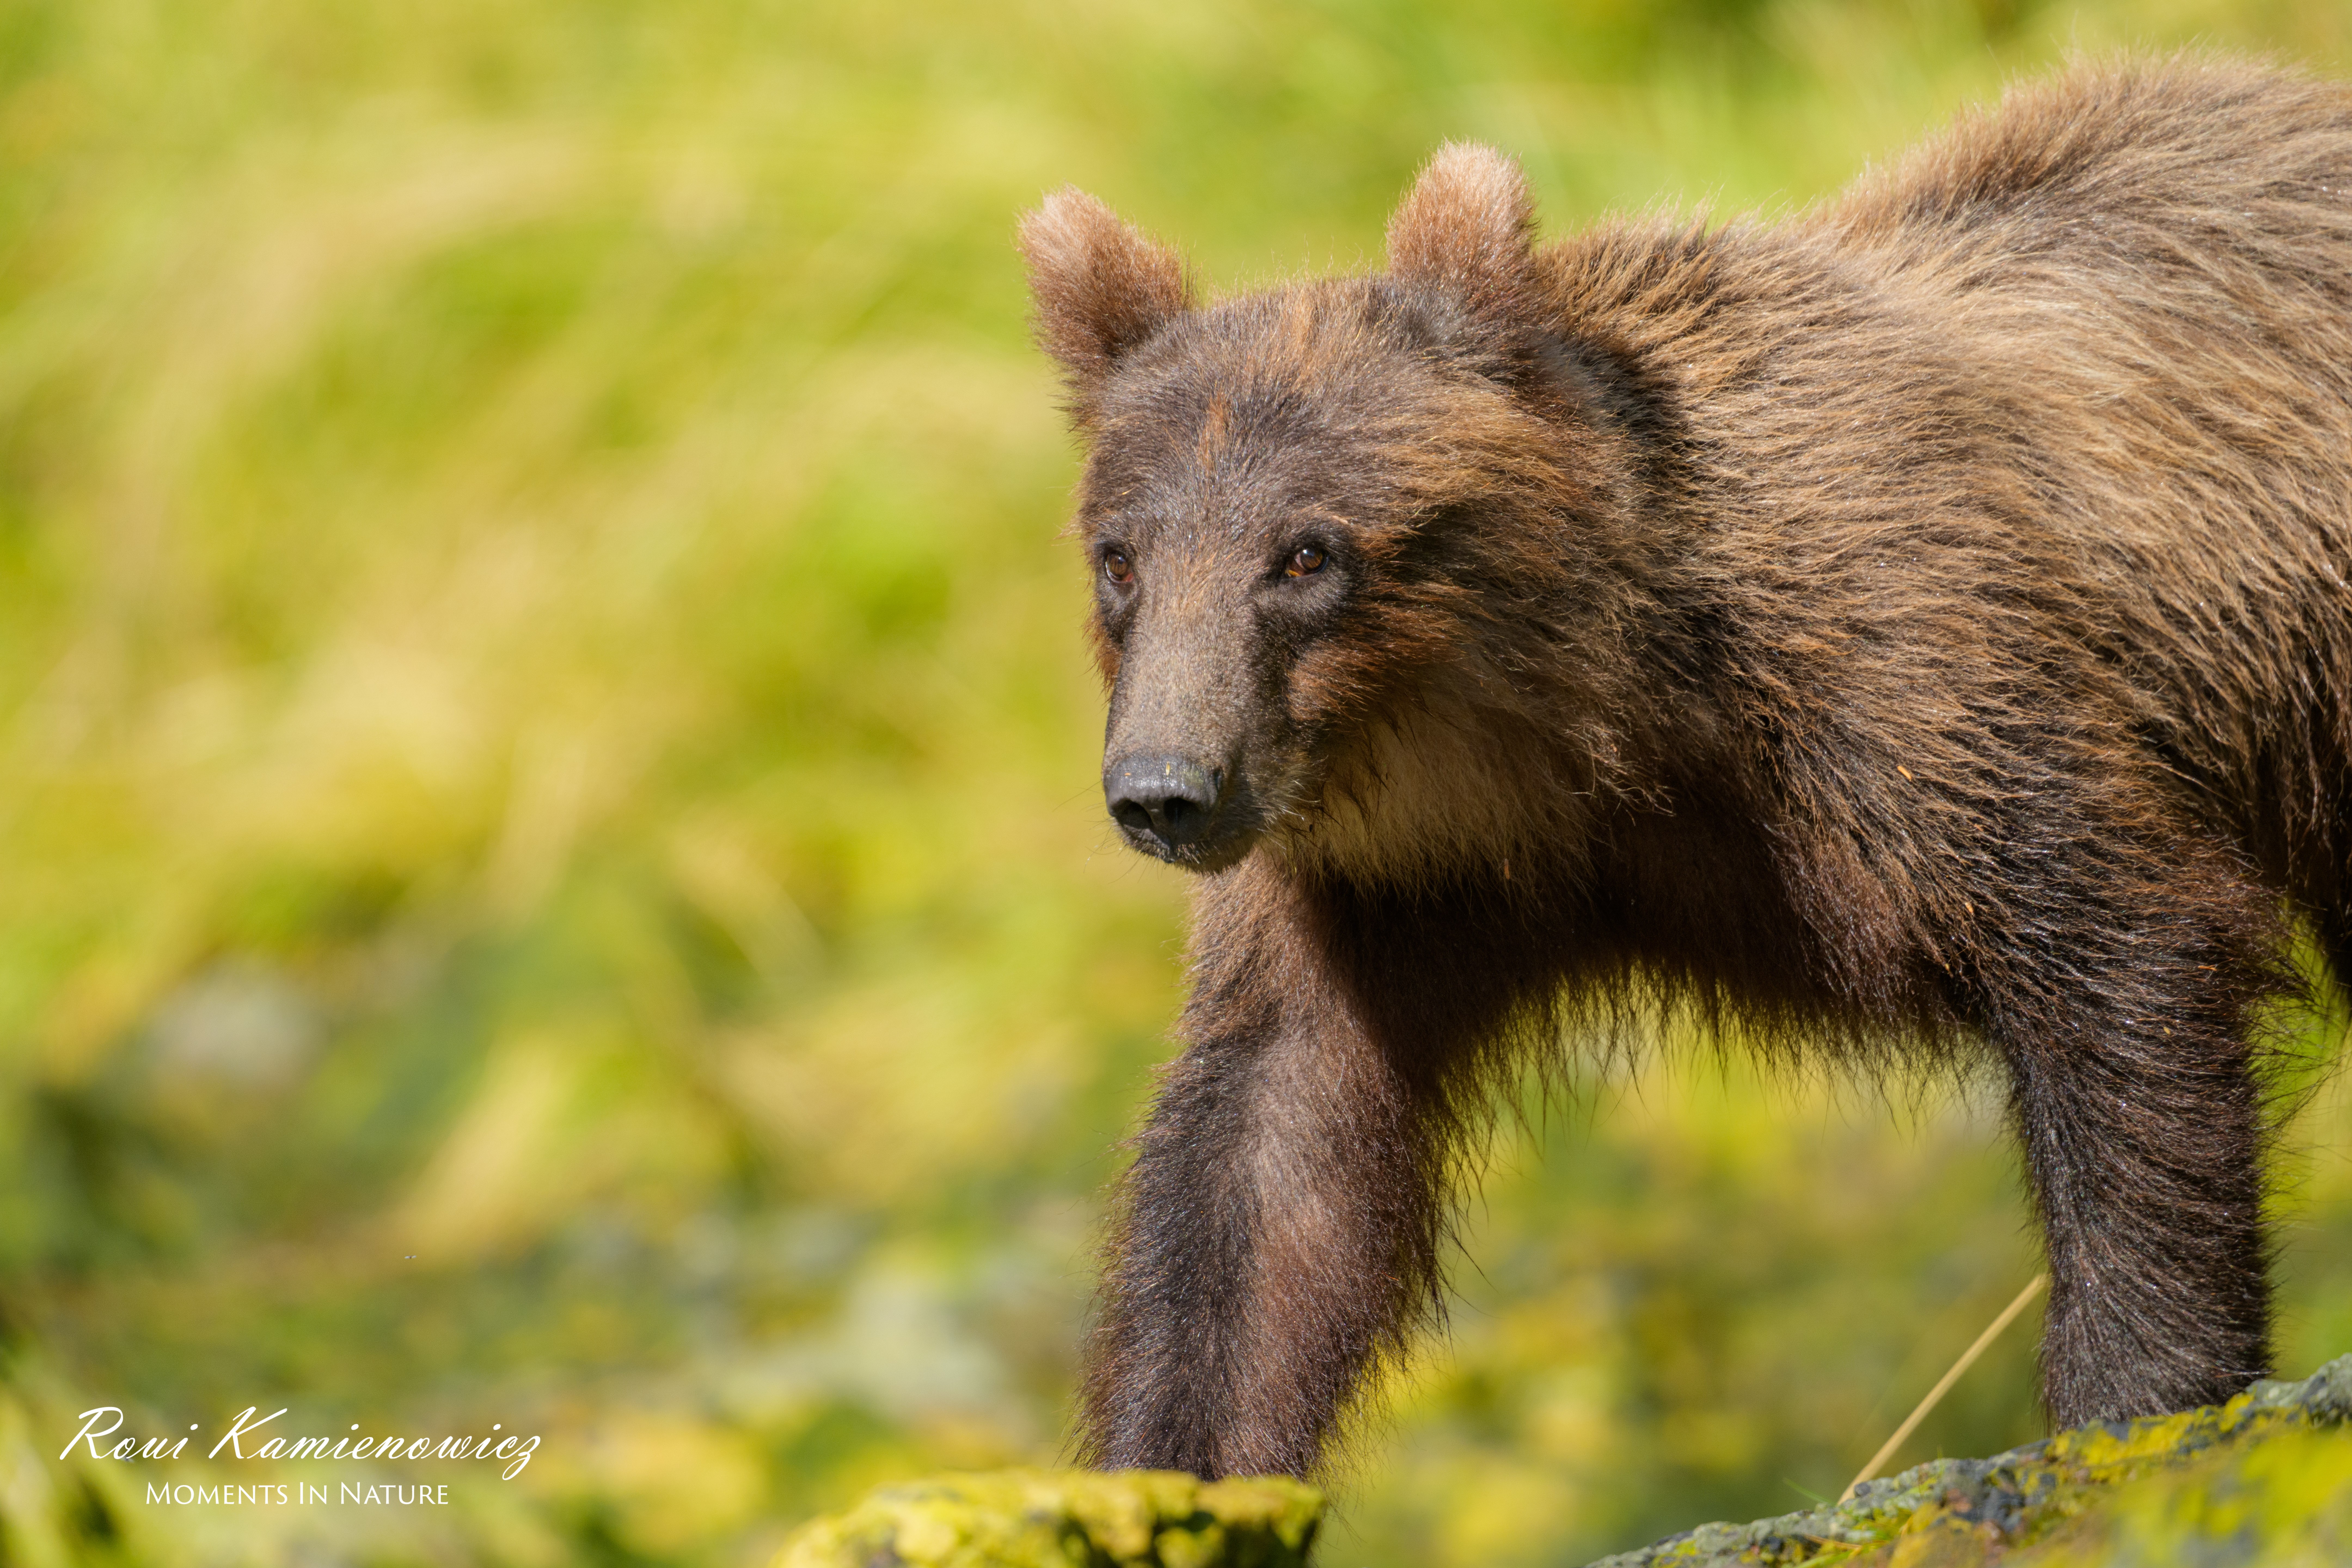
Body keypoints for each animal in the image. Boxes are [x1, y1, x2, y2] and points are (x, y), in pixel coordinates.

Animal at [1018, 54, 2352, 1482]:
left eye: (1308, 552)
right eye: (1121, 557)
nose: (1165, 789)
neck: (1590, 721)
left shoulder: (1911, 674)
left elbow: (2115, 971)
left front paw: (2136, 1394)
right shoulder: (1389, 880)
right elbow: (1269, 1168)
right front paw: (1172, 1463)